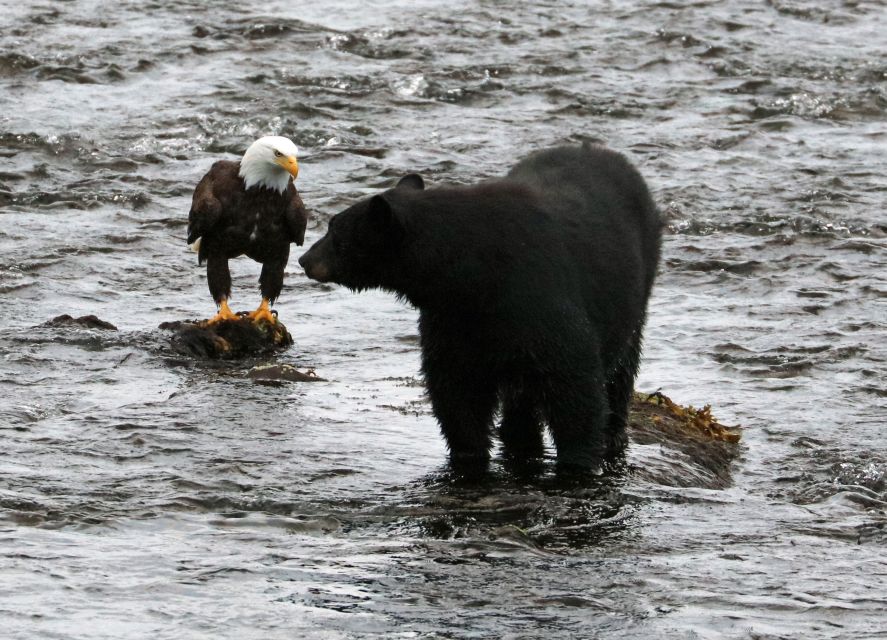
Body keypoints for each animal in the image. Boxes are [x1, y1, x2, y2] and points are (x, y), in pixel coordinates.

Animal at [302, 145, 664, 472]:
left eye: (335, 232)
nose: (305, 259)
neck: (469, 274)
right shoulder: (452, 318)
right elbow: (456, 385)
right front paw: (468, 452)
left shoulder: (538, 296)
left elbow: (572, 378)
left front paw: (580, 461)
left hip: (637, 282)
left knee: (623, 361)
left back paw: (613, 431)